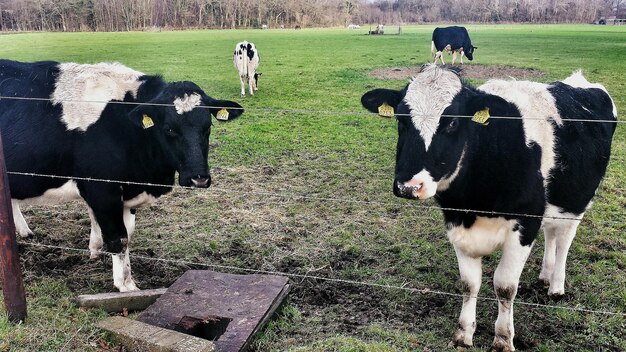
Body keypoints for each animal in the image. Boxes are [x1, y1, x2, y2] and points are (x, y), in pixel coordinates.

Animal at [0, 59, 244, 292]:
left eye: (208, 127)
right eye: (169, 129)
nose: (199, 178)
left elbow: (125, 231)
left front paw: (98, 252)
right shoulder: (102, 189)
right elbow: (119, 238)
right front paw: (126, 285)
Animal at [360, 64, 616, 350]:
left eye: (452, 122)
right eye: (401, 120)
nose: (409, 186)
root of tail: (578, 81)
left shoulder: (525, 223)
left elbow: (505, 286)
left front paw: (503, 339)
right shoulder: (457, 223)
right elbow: (469, 284)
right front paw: (464, 333)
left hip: (576, 200)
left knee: (564, 239)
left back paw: (556, 286)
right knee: (551, 233)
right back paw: (545, 275)